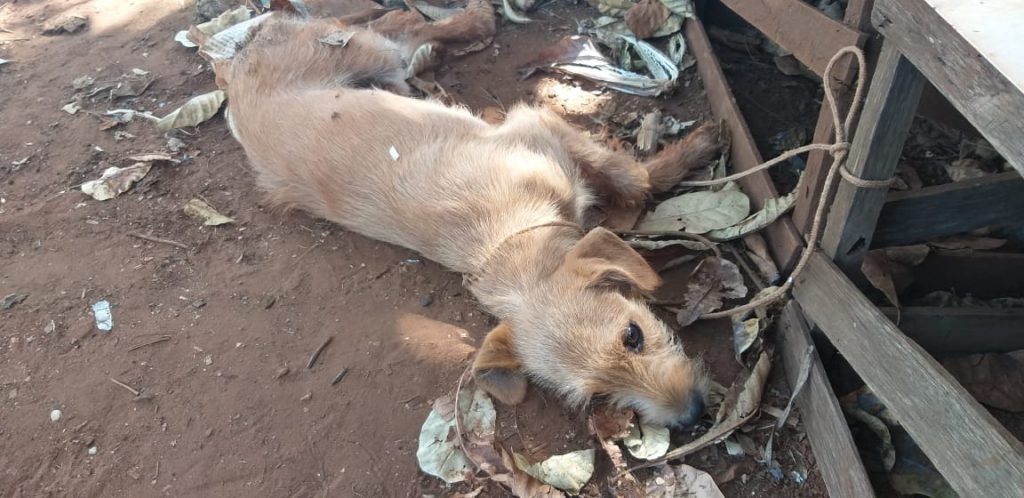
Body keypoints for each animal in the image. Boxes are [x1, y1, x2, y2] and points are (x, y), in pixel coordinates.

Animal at [224, 1, 720, 426]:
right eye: (598, 394)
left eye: (634, 335)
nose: (693, 416)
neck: (511, 236)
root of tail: (237, 59)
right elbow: (632, 179)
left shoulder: (536, 124)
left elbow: (631, 177)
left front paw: (688, 152)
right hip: (364, 57)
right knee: (402, 29)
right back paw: (471, 21)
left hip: (364, 54)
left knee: (396, 25)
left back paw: (468, 20)